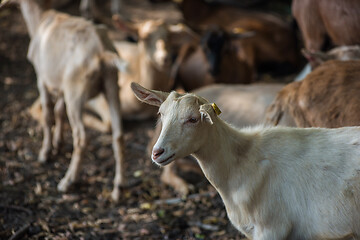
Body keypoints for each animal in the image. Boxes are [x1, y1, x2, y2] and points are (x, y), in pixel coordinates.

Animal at [0, 0, 127, 202]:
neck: (41, 19)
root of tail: (102, 53)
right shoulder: (59, 85)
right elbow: (59, 111)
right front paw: (58, 144)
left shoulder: (41, 78)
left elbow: (48, 115)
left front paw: (45, 153)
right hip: (111, 85)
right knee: (118, 135)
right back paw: (118, 188)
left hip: (75, 91)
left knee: (82, 137)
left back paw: (68, 181)